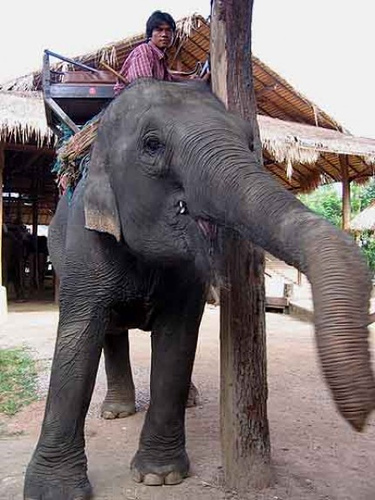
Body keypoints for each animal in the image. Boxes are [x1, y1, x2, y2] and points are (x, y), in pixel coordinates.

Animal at [24, 80, 375, 498]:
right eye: (152, 144)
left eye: (249, 141)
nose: (360, 420)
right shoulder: (84, 246)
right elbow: (78, 340)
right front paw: (53, 492)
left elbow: (177, 341)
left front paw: (160, 477)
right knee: (111, 331)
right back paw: (116, 412)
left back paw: (184, 401)